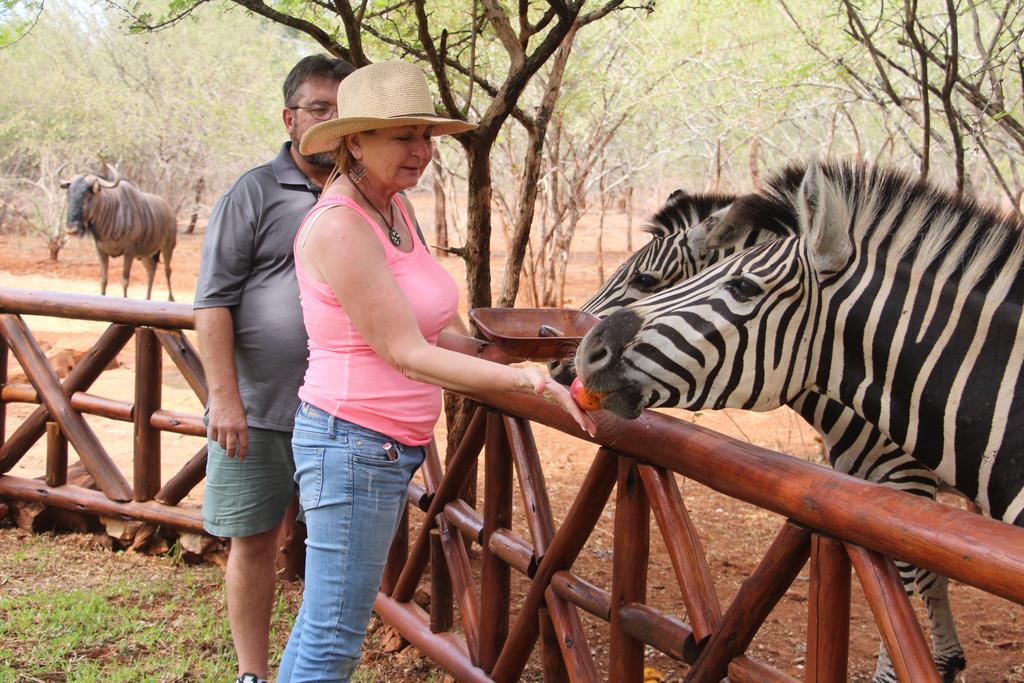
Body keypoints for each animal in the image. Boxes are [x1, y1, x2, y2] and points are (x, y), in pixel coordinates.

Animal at [59, 164, 177, 299]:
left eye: (87, 196)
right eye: (69, 195)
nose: (71, 229)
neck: (112, 213)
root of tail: (170, 209)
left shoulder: (129, 252)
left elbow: (124, 281)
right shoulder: (101, 251)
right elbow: (103, 280)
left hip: (167, 248)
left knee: (167, 271)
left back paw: (170, 299)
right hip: (145, 254)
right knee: (151, 271)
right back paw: (147, 299)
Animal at [573, 158, 1019, 679]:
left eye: (644, 279)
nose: (576, 354)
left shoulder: (904, 483)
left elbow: (905, 599)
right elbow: (931, 576)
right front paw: (948, 660)